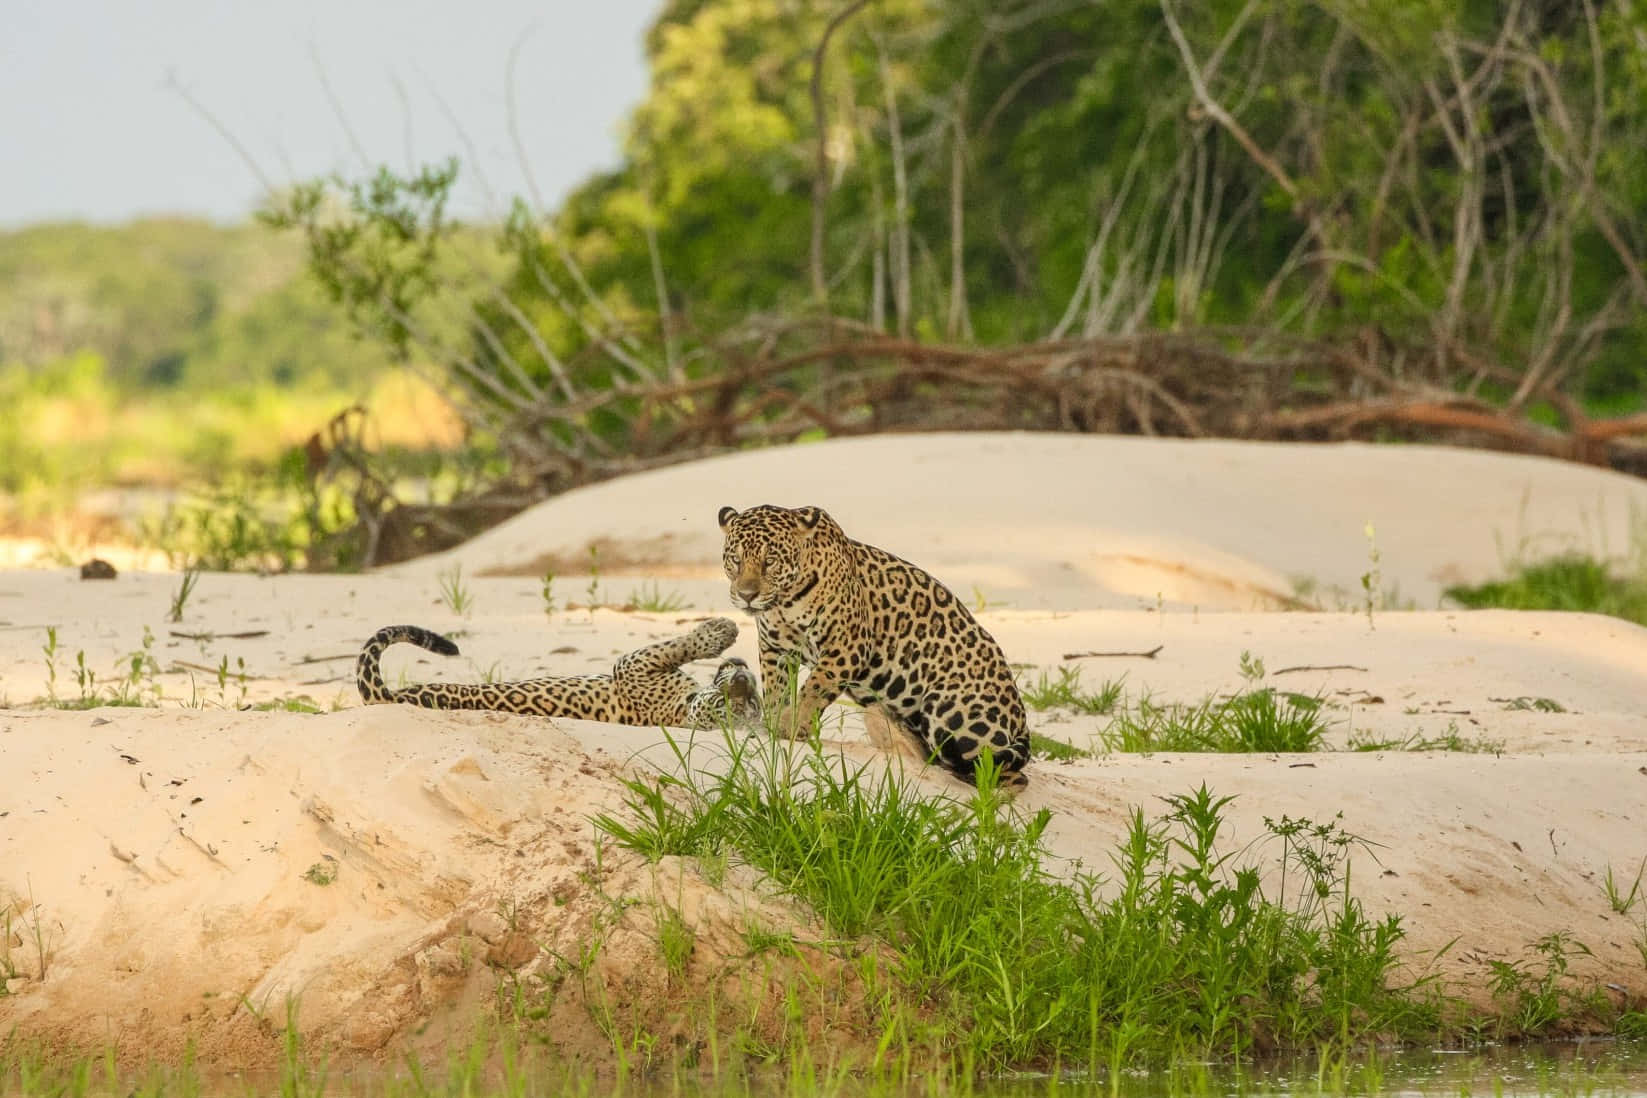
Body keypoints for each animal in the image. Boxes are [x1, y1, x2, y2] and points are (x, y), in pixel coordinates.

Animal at [356, 616, 762, 729]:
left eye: (745, 708)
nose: (743, 680)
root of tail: (385, 697)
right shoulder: (635, 666)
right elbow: (681, 645)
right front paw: (724, 632)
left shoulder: (634, 666)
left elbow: (678, 645)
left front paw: (721, 632)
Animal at [717, 503, 1031, 786]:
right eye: (735, 559)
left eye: (770, 561)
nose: (746, 595)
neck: (784, 602)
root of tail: (1022, 722)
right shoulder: (775, 650)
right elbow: (776, 691)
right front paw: (772, 726)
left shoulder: (846, 646)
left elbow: (813, 688)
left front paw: (793, 725)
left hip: (948, 711)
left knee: (1007, 773)